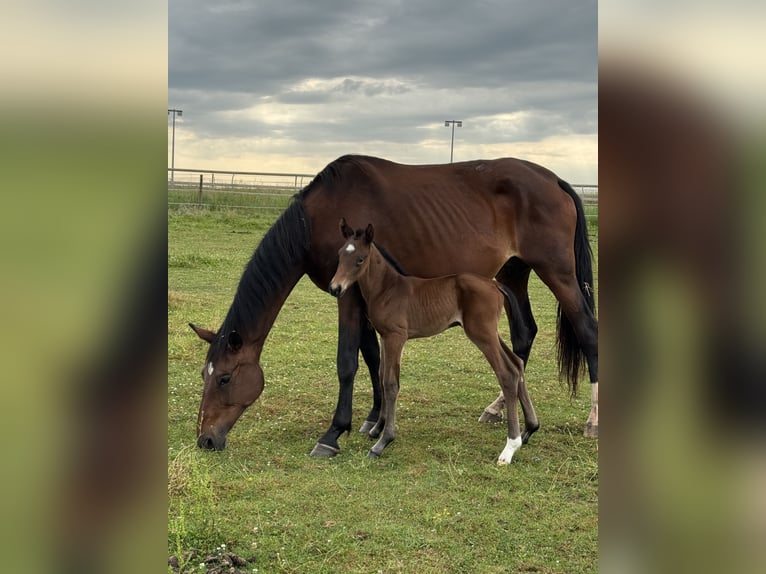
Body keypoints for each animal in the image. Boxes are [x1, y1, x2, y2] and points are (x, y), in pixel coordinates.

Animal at [329, 219, 539, 463]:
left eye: (360, 259)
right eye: (340, 254)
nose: (335, 288)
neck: (387, 289)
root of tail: (494, 285)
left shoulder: (396, 337)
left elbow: (391, 383)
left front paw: (383, 441)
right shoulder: (384, 337)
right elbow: (382, 377)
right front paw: (376, 429)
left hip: (482, 334)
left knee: (506, 373)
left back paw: (510, 447)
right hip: (489, 333)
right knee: (517, 363)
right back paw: (530, 428)